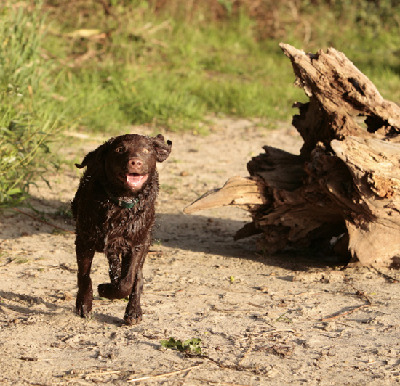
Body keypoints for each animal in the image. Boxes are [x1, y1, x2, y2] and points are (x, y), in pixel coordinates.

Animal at [72, 134, 172, 324]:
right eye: (119, 149)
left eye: (146, 150)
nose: (135, 162)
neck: (121, 201)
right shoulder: (84, 240)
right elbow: (84, 275)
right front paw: (84, 304)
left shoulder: (136, 244)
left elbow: (127, 282)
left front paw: (105, 289)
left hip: (145, 240)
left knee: (137, 278)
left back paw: (133, 311)